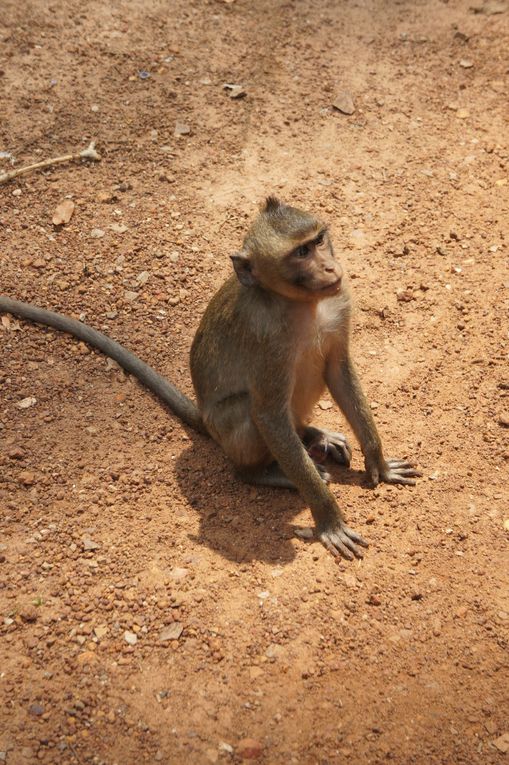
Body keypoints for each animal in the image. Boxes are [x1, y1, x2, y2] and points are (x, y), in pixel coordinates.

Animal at [0, 197, 420, 560]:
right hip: (227, 430)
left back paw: (313, 435)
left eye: (318, 241)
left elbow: (339, 372)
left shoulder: (338, 303)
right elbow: (267, 413)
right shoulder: (266, 338)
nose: (331, 269)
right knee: (248, 417)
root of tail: (203, 417)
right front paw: (328, 519)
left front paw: (379, 463)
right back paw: (264, 472)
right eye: (300, 254)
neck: (302, 305)